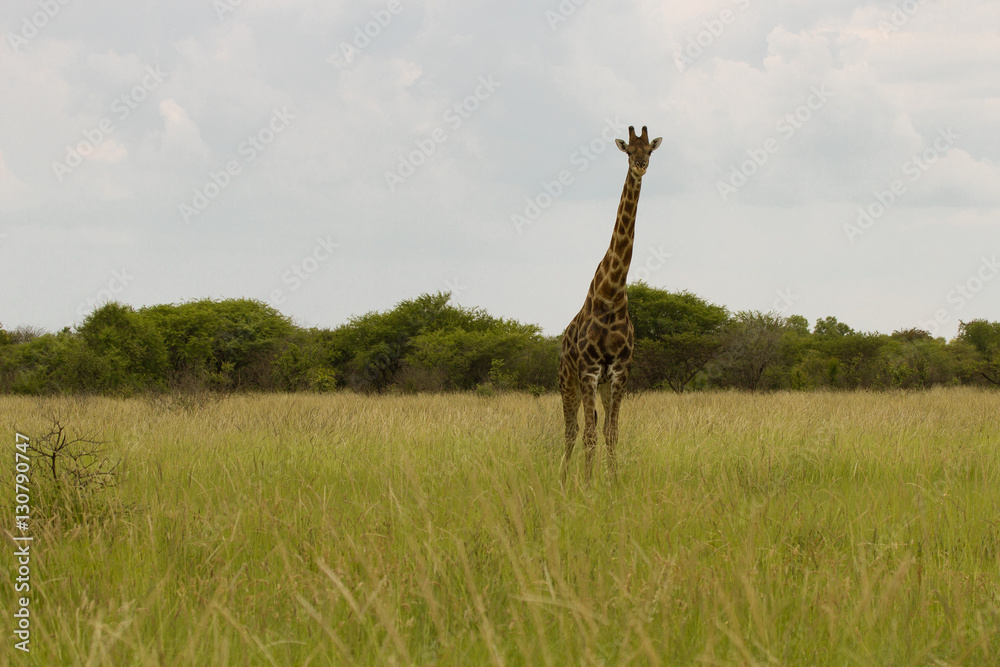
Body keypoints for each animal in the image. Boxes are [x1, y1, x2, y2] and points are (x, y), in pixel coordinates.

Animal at [559, 125, 661, 482]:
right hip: (567, 382)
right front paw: (588, 485)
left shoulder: (618, 373)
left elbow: (611, 432)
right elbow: (589, 434)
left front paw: (611, 482)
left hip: (599, 386)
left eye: (650, 149)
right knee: (572, 430)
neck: (612, 293)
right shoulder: (589, 371)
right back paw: (563, 479)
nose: (641, 165)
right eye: (629, 150)